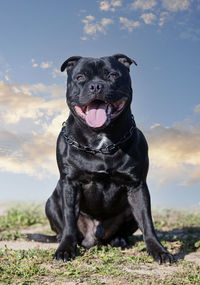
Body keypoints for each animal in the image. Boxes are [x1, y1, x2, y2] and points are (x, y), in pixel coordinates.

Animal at [28, 54, 173, 262]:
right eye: (80, 77)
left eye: (112, 75)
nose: (96, 85)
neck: (101, 142)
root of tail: (93, 239)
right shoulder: (70, 184)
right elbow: (69, 220)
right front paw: (65, 249)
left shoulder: (137, 186)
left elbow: (147, 221)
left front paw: (158, 250)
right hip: (51, 203)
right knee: (64, 227)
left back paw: (118, 240)